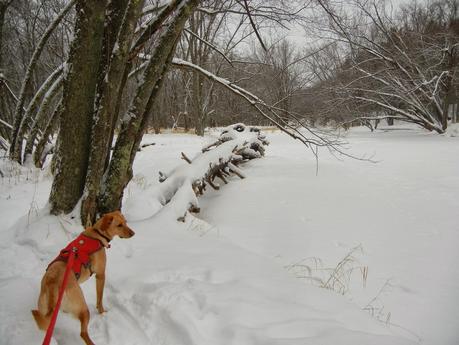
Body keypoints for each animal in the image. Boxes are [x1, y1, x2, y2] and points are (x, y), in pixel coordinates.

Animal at [31, 210, 133, 344]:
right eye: (119, 225)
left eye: (125, 222)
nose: (133, 233)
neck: (97, 234)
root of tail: (52, 283)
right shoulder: (101, 275)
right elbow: (99, 299)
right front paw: (102, 313)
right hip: (84, 309)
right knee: (83, 333)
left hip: (46, 311)